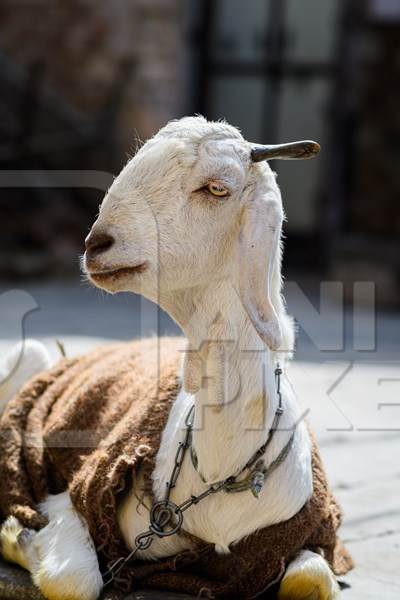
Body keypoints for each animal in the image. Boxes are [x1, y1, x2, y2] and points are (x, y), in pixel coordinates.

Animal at [0, 117, 340, 600]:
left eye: (216, 188)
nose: (97, 244)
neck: (223, 469)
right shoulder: (70, 498)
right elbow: (73, 582)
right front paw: (16, 534)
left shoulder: (312, 535)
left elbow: (309, 580)